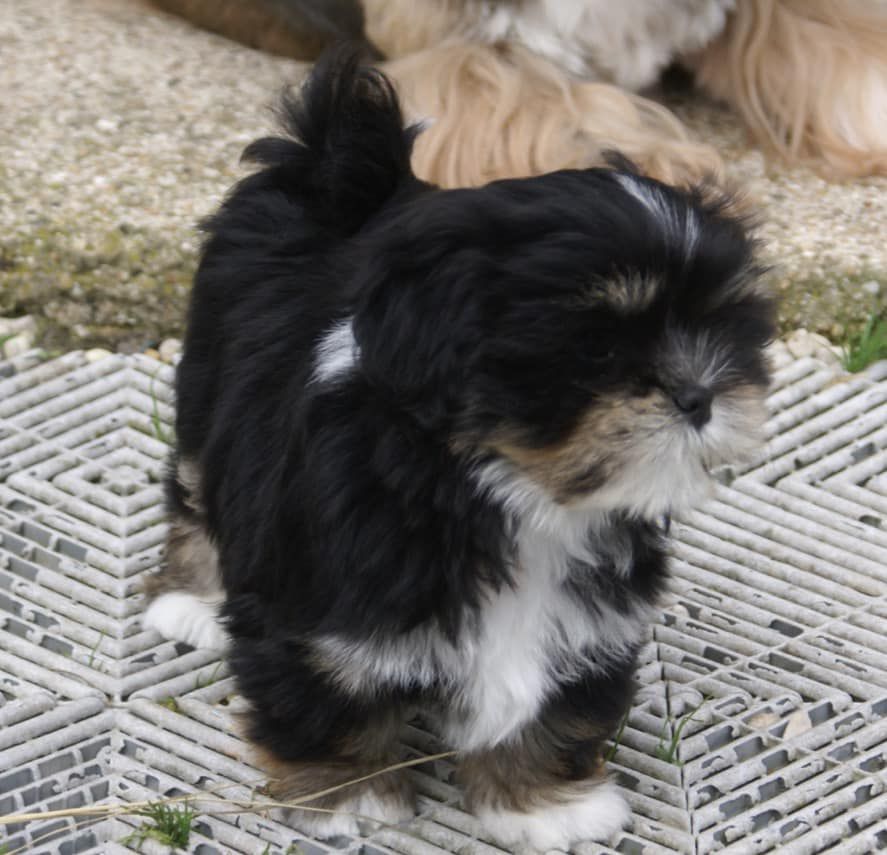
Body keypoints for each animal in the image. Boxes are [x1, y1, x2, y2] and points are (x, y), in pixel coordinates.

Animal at [142, 50, 772, 852]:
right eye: (597, 348)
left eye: (722, 329)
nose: (699, 395)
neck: (508, 492)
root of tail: (335, 176)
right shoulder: (322, 606)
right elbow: (328, 689)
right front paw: (349, 796)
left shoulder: (585, 617)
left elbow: (548, 703)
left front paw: (542, 803)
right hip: (205, 388)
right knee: (194, 489)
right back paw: (189, 600)